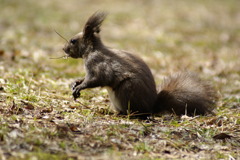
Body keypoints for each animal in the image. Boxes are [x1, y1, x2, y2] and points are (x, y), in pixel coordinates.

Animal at [61, 10, 218, 116]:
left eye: (73, 41)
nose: (64, 49)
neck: (92, 50)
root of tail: (151, 107)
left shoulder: (98, 63)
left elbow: (97, 78)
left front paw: (80, 87)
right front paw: (75, 82)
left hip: (127, 90)